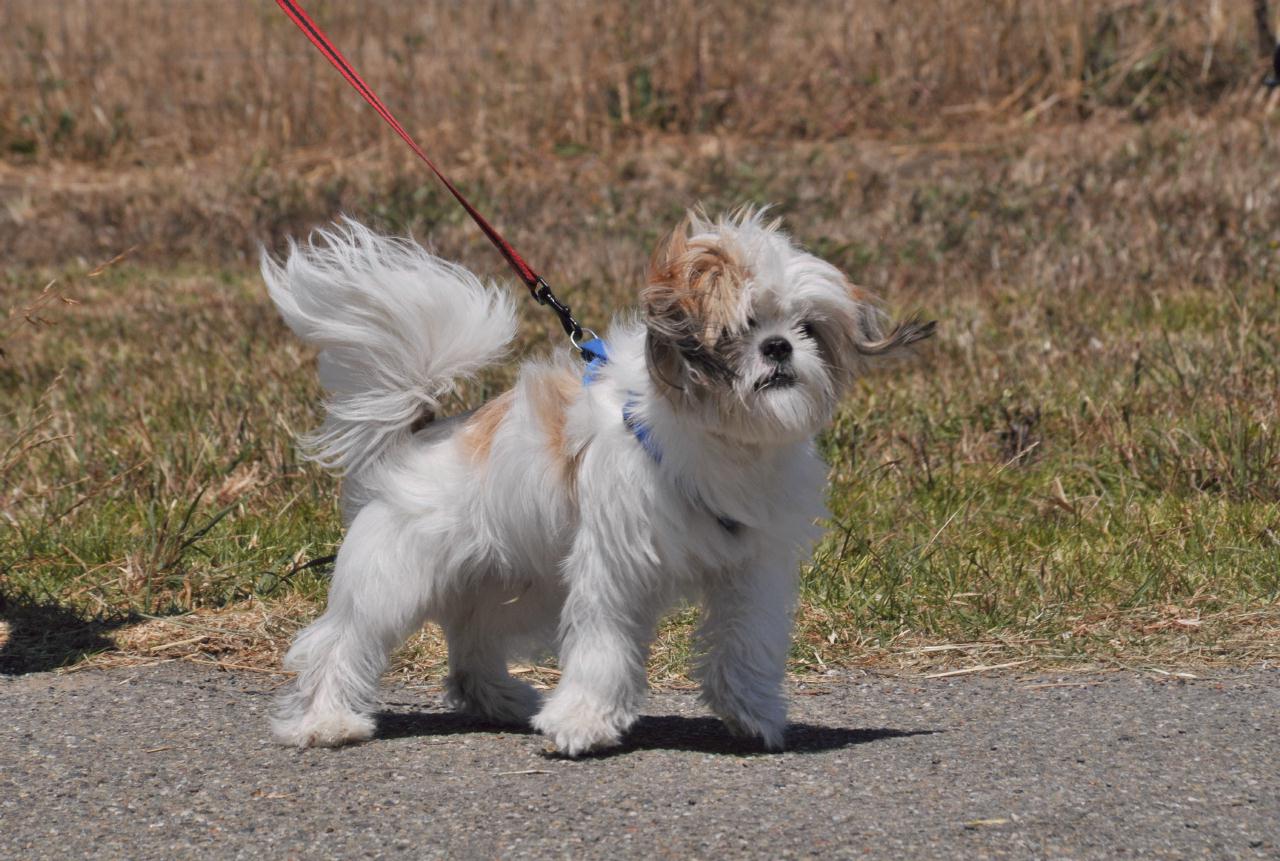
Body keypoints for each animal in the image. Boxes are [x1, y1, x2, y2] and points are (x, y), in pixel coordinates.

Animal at [262, 208, 931, 752]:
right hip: (396, 572)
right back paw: (326, 721)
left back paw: (501, 700)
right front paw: (582, 723)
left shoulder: (751, 567)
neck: (720, 439)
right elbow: (603, 643)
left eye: (809, 329)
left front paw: (752, 714)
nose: (779, 348)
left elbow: (745, 640)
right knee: (340, 641)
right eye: (740, 328)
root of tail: (421, 435)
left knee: (473, 640)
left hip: (516, 579)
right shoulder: (616, 562)